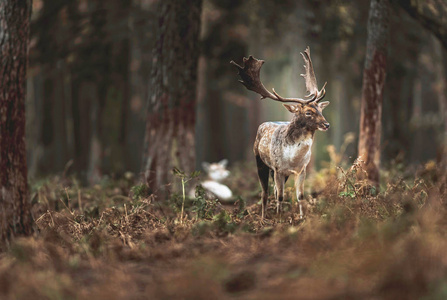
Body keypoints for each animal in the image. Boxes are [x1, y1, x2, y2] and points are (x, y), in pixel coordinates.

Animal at [233, 47, 330, 220]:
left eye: (320, 109)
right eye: (308, 112)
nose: (327, 124)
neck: (293, 158)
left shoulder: (302, 169)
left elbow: (300, 196)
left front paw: (301, 218)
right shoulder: (278, 168)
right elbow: (279, 196)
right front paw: (279, 219)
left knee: (274, 190)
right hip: (260, 161)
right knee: (265, 192)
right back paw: (263, 217)